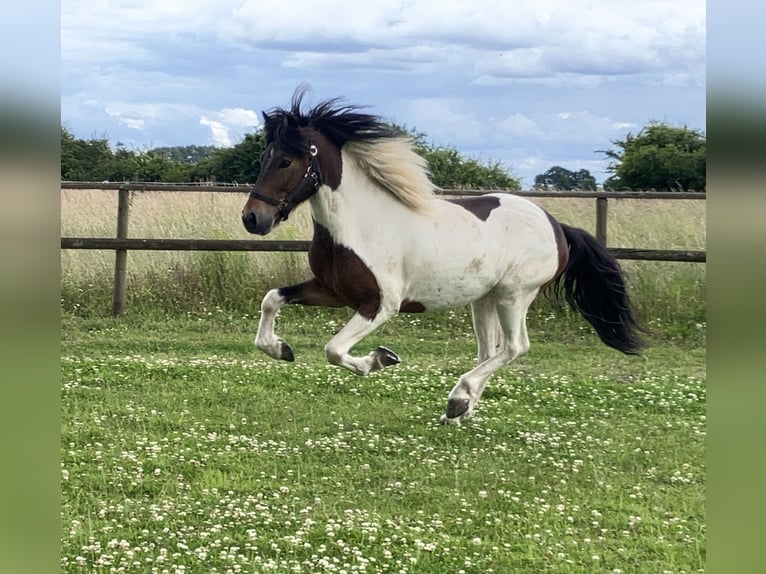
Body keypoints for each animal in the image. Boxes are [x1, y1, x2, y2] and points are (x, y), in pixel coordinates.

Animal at [241, 87, 645, 424]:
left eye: (286, 161)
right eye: (264, 157)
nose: (252, 219)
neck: (360, 224)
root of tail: (557, 226)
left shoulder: (380, 304)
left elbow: (334, 350)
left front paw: (381, 359)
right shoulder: (332, 290)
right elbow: (272, 299)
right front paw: (280, 349)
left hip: (515, 295)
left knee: (515, 347)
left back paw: (457, 398)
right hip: (484, 299)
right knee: (489, 351)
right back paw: (460, 410)